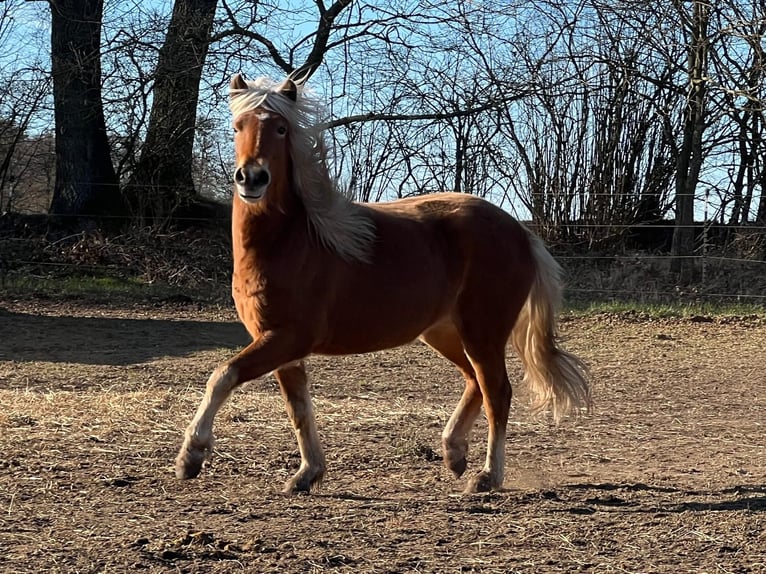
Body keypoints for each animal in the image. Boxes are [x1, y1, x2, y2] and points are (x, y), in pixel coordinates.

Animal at [174, 73, 591, 494]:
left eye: (280, 128)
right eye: (237, 127)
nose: (252, 178)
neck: (292, 241)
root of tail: (520, 232)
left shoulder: (286, 338)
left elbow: (222, 375)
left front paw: (191, 457)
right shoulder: (280, 347)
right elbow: (299, 410)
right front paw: (307, 474)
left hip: (482, 332)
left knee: (498, 392)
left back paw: (487, 476)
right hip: (444, 333)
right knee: (475, 380)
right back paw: (454, 452)